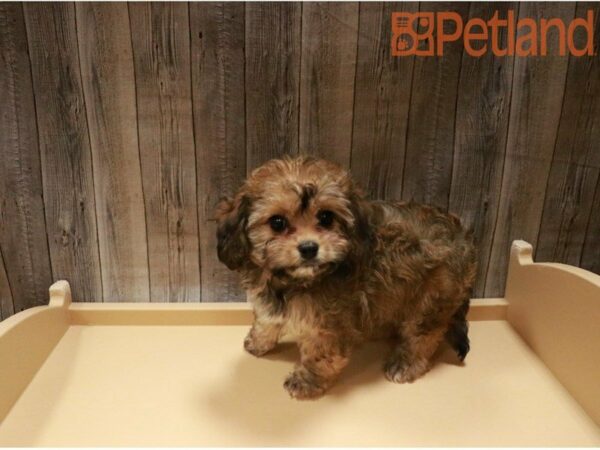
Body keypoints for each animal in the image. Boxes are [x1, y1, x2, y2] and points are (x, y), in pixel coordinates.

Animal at [216, 156, 478, 400]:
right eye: (277, 223)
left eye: (326, 217)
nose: (309, 248)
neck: (293, 279)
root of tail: (464, 238)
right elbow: (267, 320)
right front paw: (258, 342)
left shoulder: (329, 324)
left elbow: (320, 355)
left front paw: (306, 381)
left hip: (432, 298)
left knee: (424, 334)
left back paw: (406, 363)